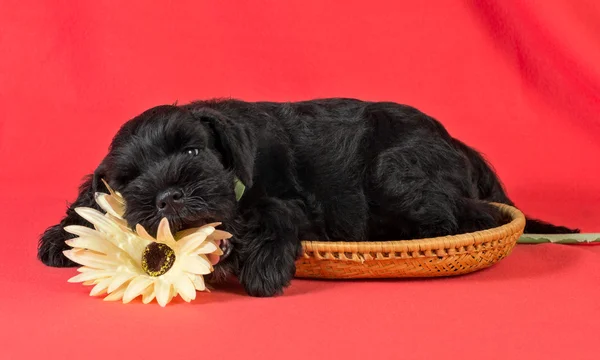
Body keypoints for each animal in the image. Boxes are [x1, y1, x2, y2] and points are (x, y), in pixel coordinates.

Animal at [36, 97, 576, 296]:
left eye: (191, 149)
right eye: (129, 180)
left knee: (469, 216)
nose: (168, 196)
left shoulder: (298, 202)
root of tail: (461, 146)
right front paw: (58, 235)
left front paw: (262, 265)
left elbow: (272, 210)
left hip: (394, 171)